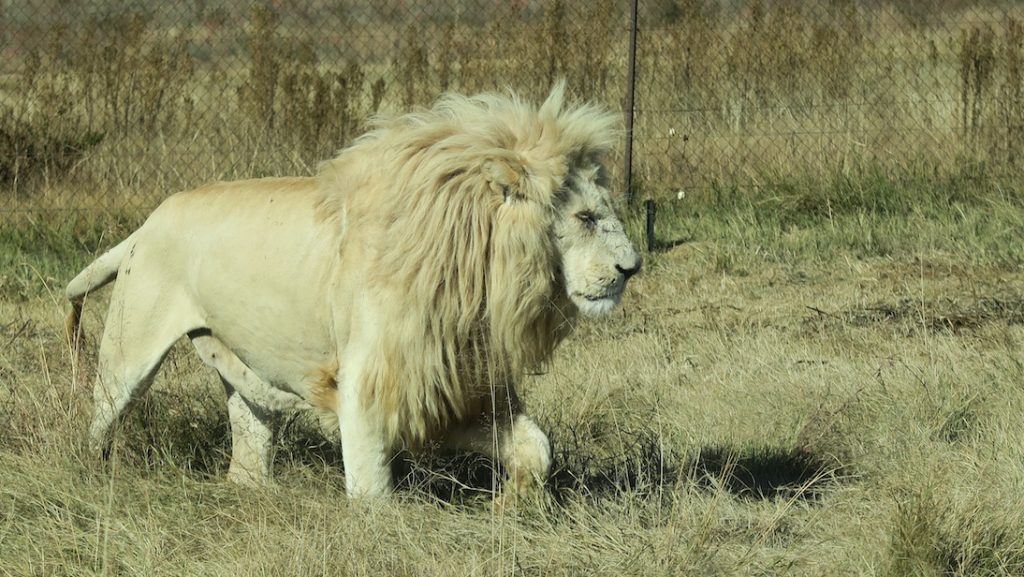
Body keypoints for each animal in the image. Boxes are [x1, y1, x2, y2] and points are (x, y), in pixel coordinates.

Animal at [64, 83, 638, 498]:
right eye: (586, 218)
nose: (632, 267)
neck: (479, 271)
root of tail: (144, 226)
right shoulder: (370, 381)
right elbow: (371, 490)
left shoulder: (451, 386)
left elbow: (536, 447)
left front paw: (514, 506)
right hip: (128, 353)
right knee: (100, 419)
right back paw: (92, 477)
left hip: (244, 372)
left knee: (248, 436)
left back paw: (249, 491)